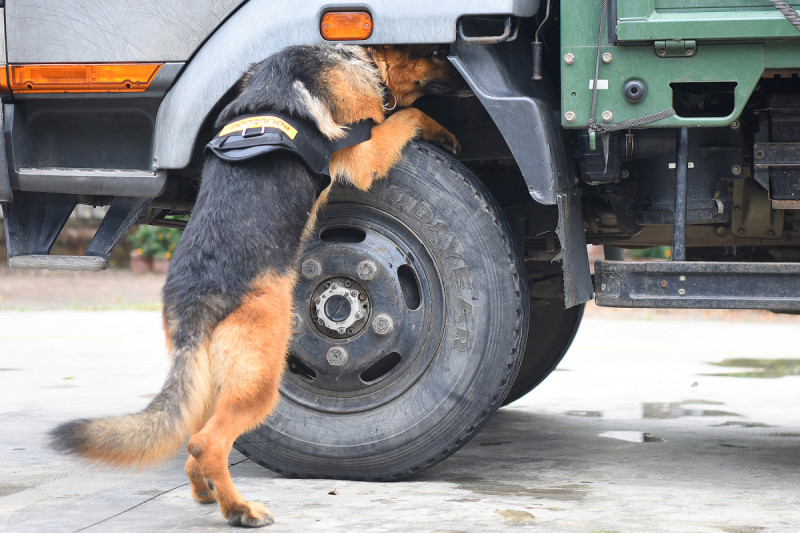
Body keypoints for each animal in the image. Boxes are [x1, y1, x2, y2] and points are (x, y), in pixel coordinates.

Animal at [50, 43, 462, 524]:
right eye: (436, 53)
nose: (465, 73)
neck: (353, 56)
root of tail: (195, 302)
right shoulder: (363, 153)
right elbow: (408, 116)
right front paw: (444, 131)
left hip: (209, 382)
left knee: (193, 441)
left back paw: (206, 493)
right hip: (260, 378)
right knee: (206, 443)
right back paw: (239, 509)